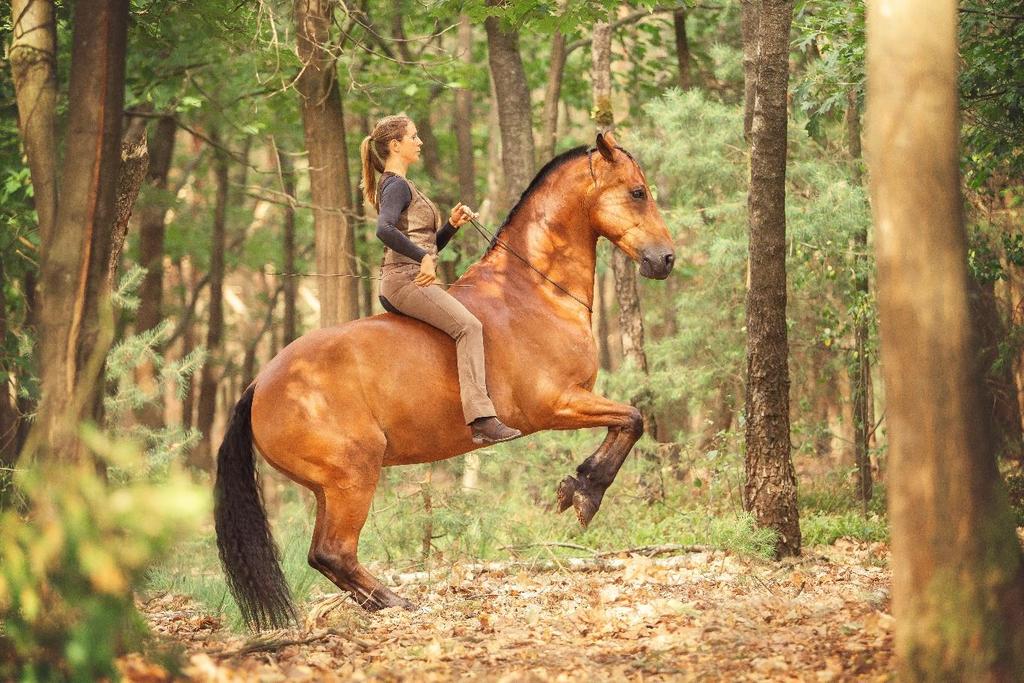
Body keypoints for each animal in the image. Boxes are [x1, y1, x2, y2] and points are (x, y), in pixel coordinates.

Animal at [215, 131, 675, 634]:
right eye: (638, 191)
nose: (666, 259)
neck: (532, 292)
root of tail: (260, 385)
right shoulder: (555, 404)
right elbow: (632, 419)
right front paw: (584, 492)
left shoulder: (570, 401)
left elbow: (627, 422)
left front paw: (580, 487)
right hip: (352, 477)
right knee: (334, 551)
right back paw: (397, 602)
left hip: (327, 488)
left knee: (322, 555)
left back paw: (382, 602)